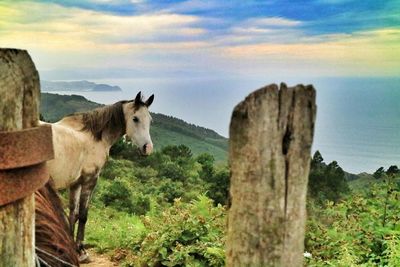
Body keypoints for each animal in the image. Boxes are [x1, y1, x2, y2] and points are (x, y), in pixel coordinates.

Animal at [42, 91, 154, 262]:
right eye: (135, 118)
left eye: (150, 120)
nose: (147, 148)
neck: (93, 137)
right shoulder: (90, 180)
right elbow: (83, 215)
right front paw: (81, 251)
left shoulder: (75, 183)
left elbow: (73, 214)